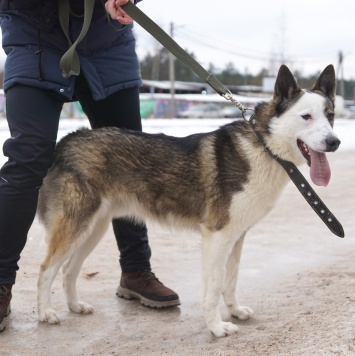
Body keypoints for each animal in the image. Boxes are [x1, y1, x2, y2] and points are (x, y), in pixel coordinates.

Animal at [36, 64, 342, 336]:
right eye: (306, 116)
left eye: (330, 116)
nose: (334, 142)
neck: (264, 146)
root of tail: (67, 141)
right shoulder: (217, 237)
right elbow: (214, 286)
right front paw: (217, 327)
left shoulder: (236, 237)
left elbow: (230, 281)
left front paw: (234, 311)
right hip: (76, 229)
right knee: (46, 270)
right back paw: (45, 313)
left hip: (92, 230)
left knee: (68, 270)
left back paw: (75, 306)